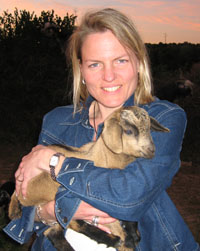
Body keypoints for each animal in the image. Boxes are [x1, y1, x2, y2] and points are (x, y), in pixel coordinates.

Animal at [8, 106, 170, 251]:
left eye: (149, 129)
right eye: (129, 131)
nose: (151, 150)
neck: (102, 157)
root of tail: (18, 196)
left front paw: (133, 233)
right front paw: (128, 240)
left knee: (54, 232)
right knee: (72, 221)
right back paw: (112, 240)